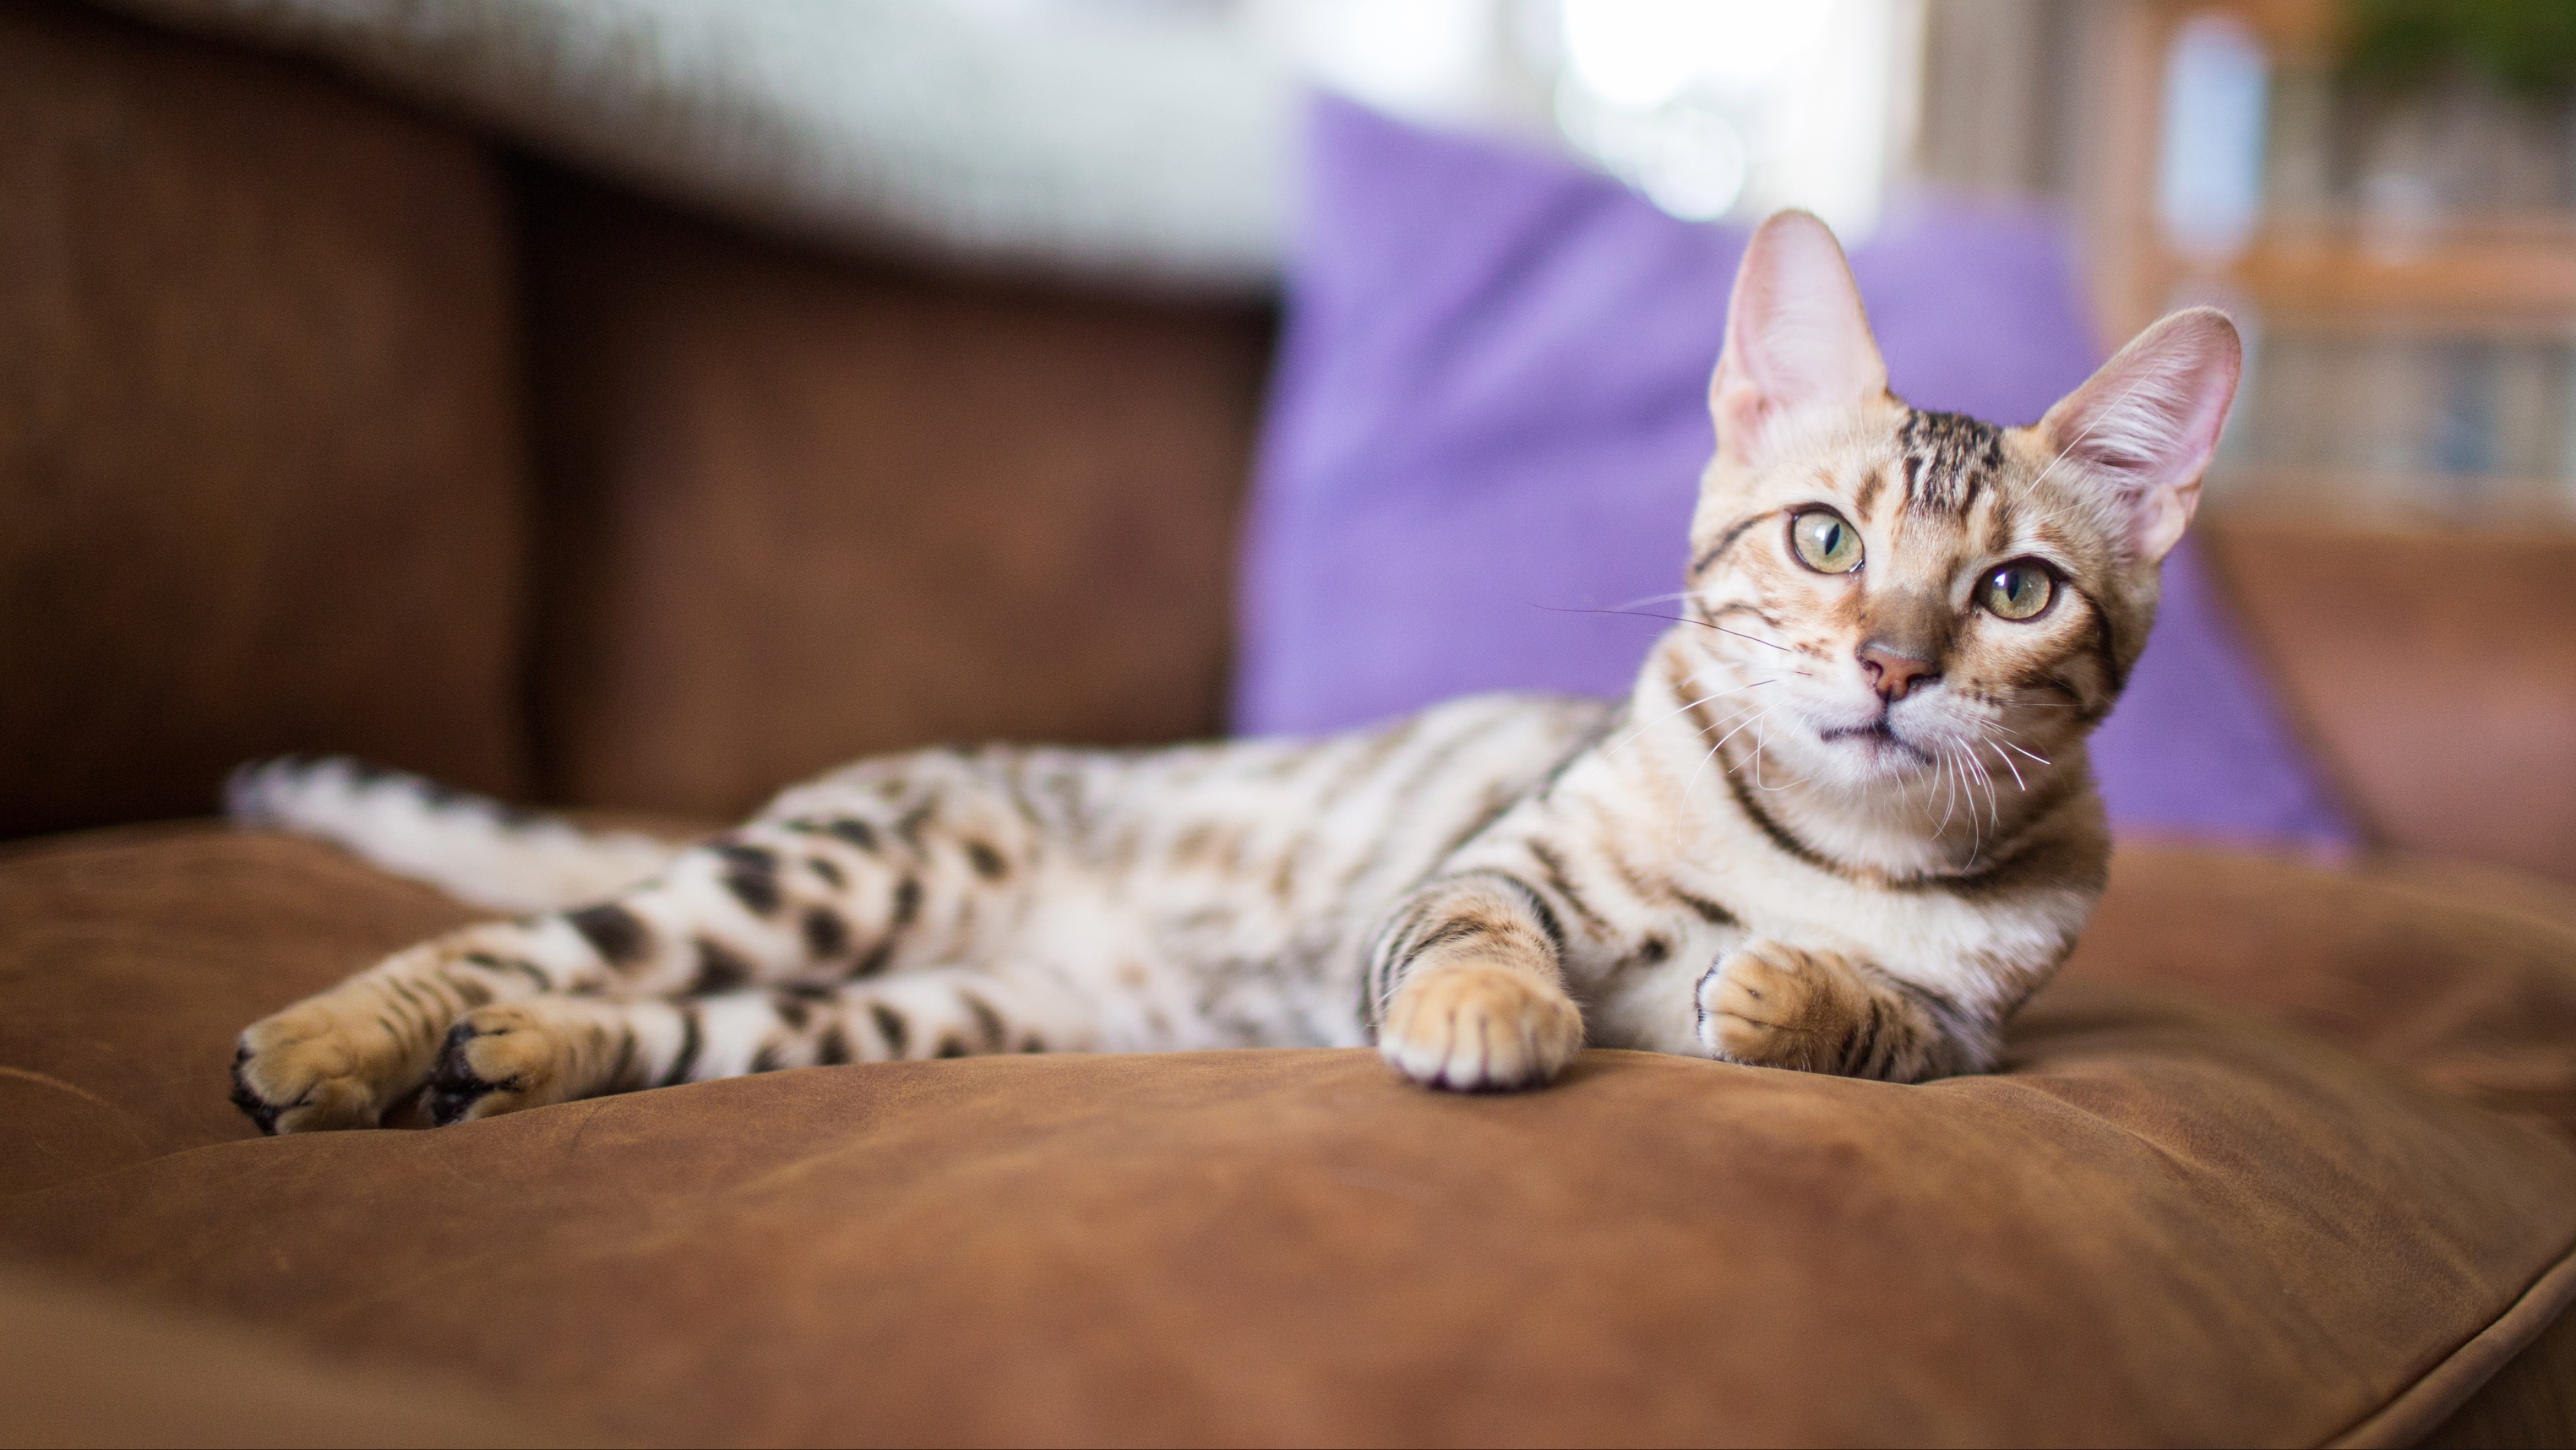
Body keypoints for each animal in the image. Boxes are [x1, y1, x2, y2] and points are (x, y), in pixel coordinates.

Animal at [227, 210, 2235, 1133]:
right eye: (1824, 540)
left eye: (2016, 589)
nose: (1890, 663)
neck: (1824, 845)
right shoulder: (1491, 858)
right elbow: (1475, 929)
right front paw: (1491, 1016)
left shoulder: (1985, 1028)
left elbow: (1896, 1024)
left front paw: (1792, 992)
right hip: (843, 870)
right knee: (528, 937)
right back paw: (339, 1039)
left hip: (943, 1008)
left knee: (673, 1021)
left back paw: (513, 1062)